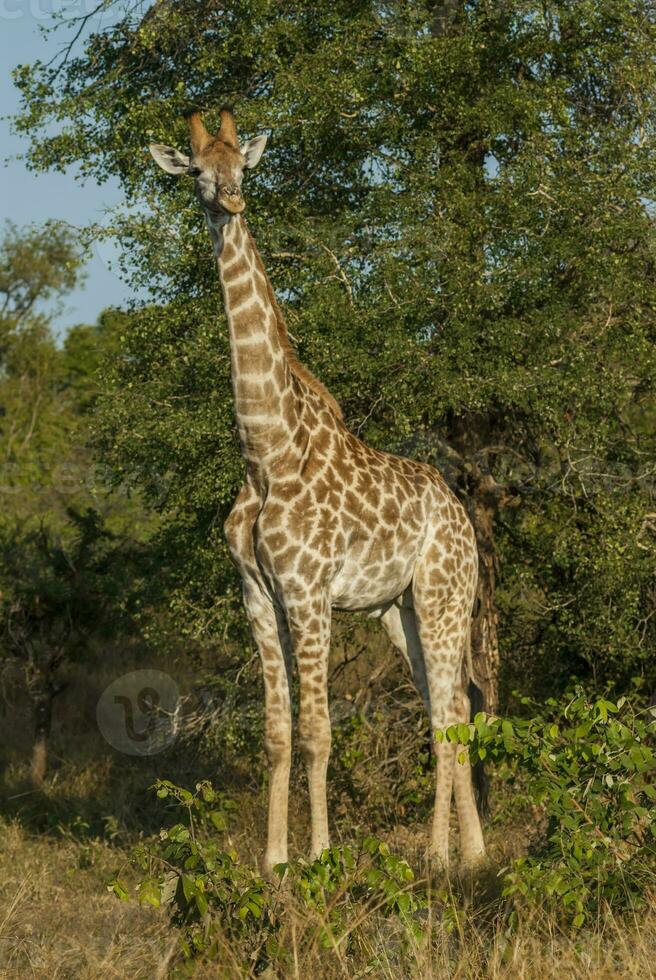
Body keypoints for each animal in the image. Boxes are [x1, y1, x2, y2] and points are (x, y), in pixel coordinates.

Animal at [151, 107, 484, 872]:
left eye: (242, 165)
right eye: (197, 171)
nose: (231, 200)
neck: (266, 455)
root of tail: (463, 518)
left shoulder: (309, 593)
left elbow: (317, 732)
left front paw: (320, 856)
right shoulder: (257, 594)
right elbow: (277, 733)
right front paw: (274, 862)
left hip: (444, 597)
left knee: (449, 718)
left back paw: (437, 857)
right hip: (401, 612)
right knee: (447, 709)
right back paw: (474, 855)